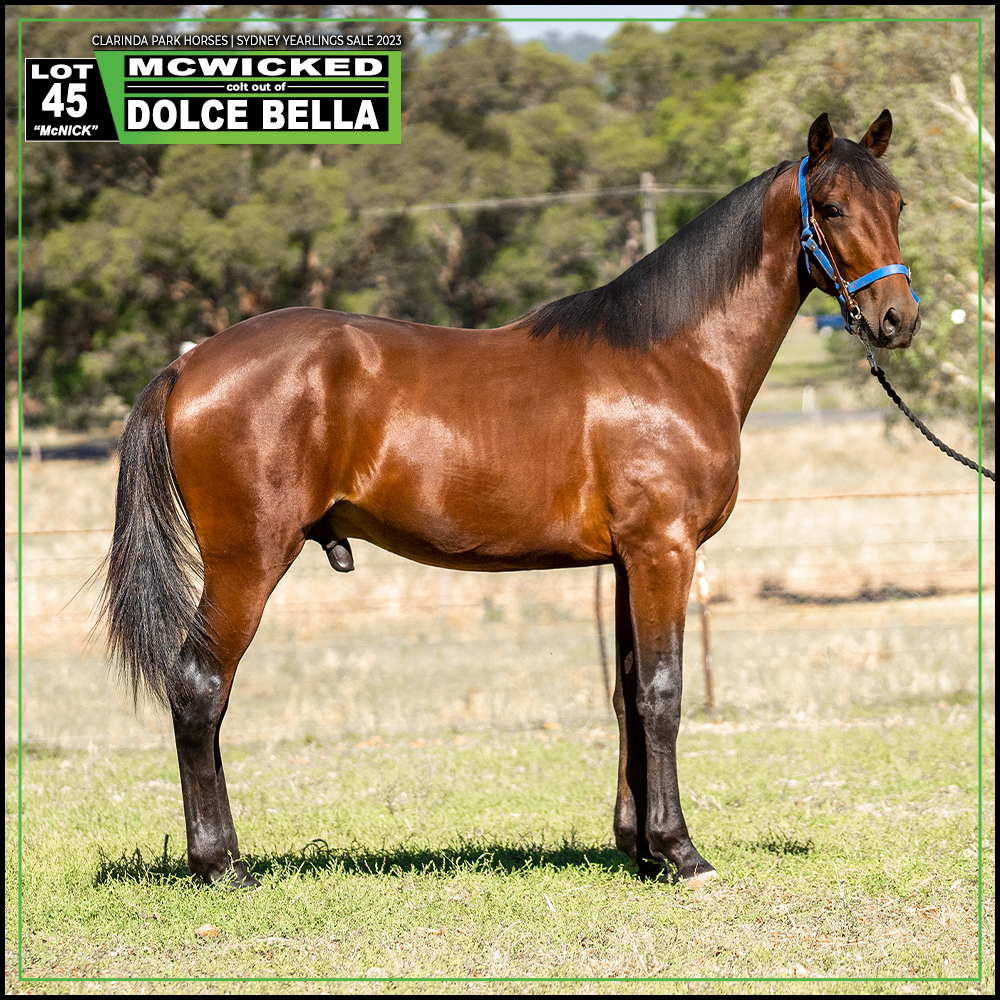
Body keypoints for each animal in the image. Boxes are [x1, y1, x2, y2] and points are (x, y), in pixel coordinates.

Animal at [102, 111, 920, 888]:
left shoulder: (628, 561)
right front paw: (682, 854)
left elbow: (626, 694)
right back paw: (221, 865)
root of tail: (188, 365)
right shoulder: (664, 550)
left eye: (898, 203)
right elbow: (662, 694)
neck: (672, 358)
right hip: (246, 562)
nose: (898, 319)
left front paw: (639, 848)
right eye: (833, 207)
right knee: (201, 688)